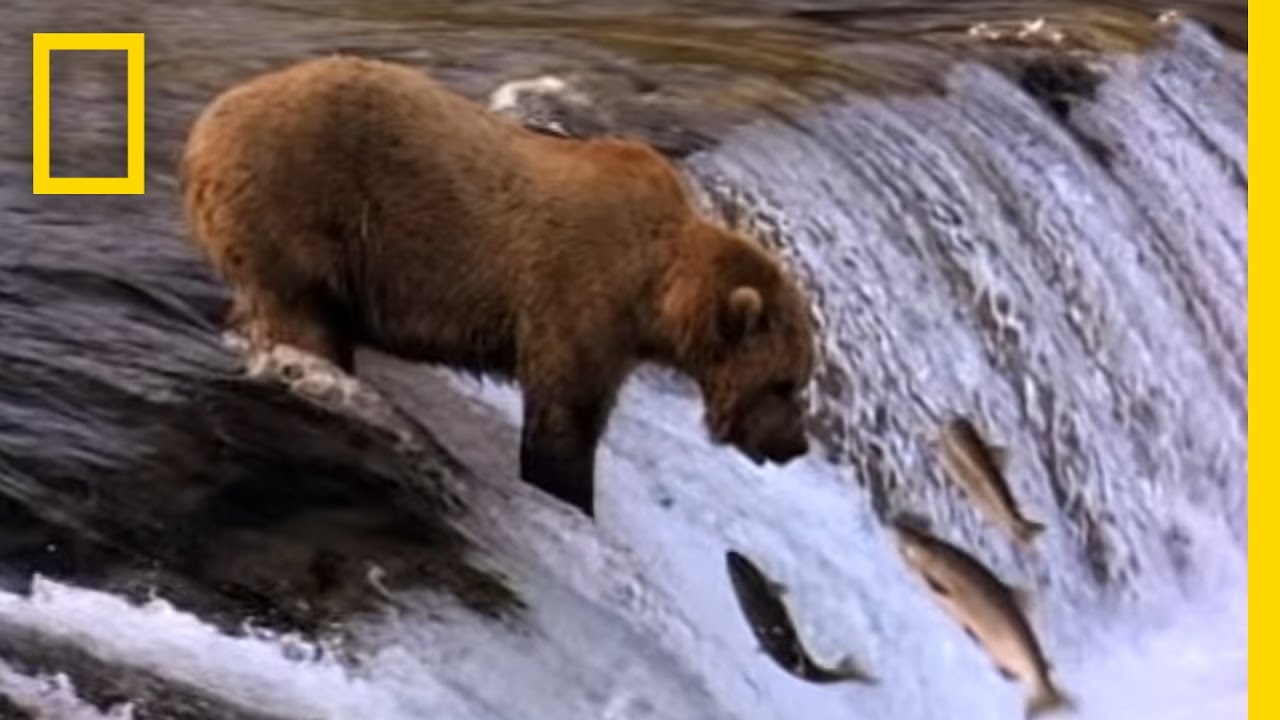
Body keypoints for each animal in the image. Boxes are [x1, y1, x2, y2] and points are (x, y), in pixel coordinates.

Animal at [180, 55, 818, 519]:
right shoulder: (577, 295)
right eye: (785, 382)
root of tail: (206, 126)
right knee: (306, 317)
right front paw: (568, 493)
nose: (796, 445)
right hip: (301, 212)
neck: (654, 289)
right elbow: (564, 417)